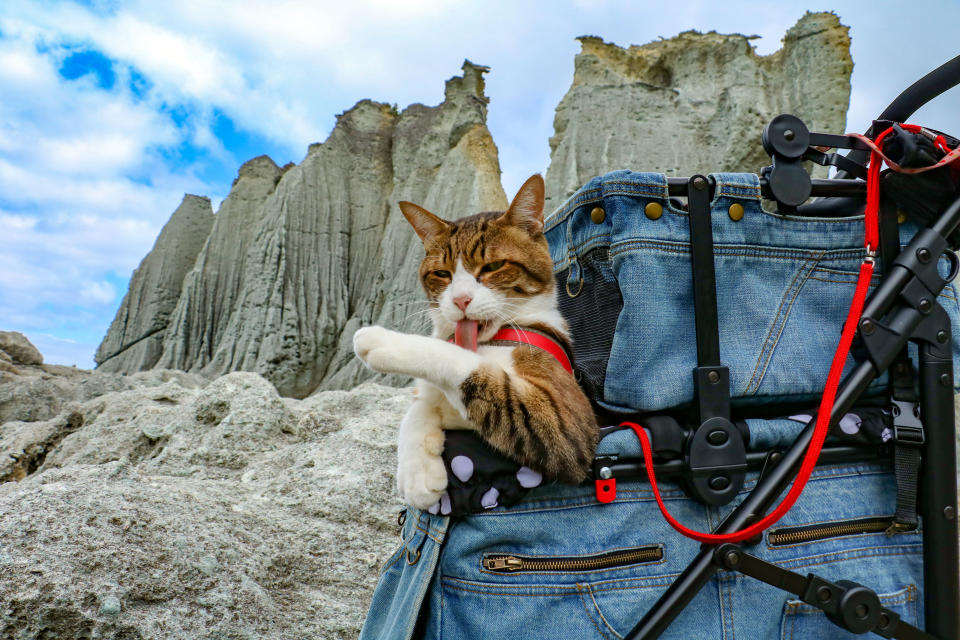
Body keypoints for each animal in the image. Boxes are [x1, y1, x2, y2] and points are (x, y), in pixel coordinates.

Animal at [352, 175, 592, 510]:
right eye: (442, 273)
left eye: (492, 266)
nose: (460, 300)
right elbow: (420, 402)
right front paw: (417, 474)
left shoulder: (565, 426)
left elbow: (462, 363)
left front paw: (383, 340)